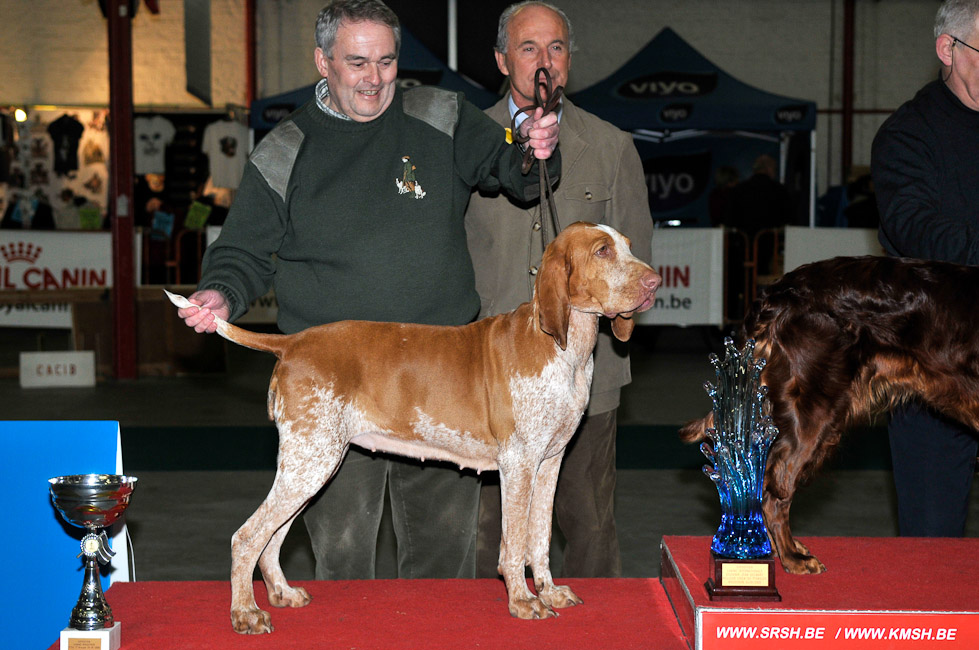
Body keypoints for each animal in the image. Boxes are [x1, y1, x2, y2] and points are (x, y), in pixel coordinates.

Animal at [168, 221, 664, 632]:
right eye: (602, 251)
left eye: (628, 245)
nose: (655, 282)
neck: (564, 349)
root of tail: (291, 344)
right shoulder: (519, 465)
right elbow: (514, 544)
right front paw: (522, 601)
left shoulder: (550, 463)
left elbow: (539, 540)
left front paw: (549, 591)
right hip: (310, 462)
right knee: (247, 537)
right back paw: (245, 613)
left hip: (313, 465)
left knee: (271, 538)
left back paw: (281, 594)